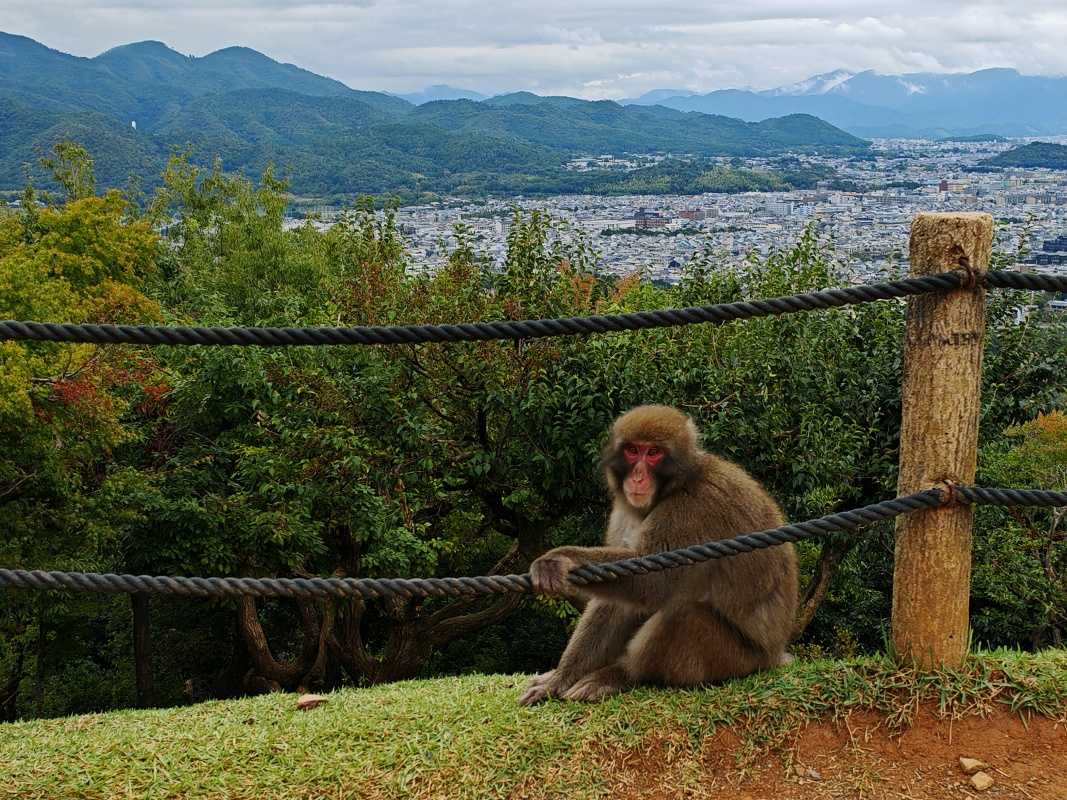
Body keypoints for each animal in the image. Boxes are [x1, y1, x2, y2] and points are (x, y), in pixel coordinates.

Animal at [518, 404, 798, 705]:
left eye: (653, 453)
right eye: (632, 451)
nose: (638, 476)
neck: (677, 485)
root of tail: (773, 654)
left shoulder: (692, 508)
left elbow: (653, 582)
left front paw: (559, 559)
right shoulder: (623, 512)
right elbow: (617, 601)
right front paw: (560, 678)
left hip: (737, 659)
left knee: (682, 611)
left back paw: (621, 675)